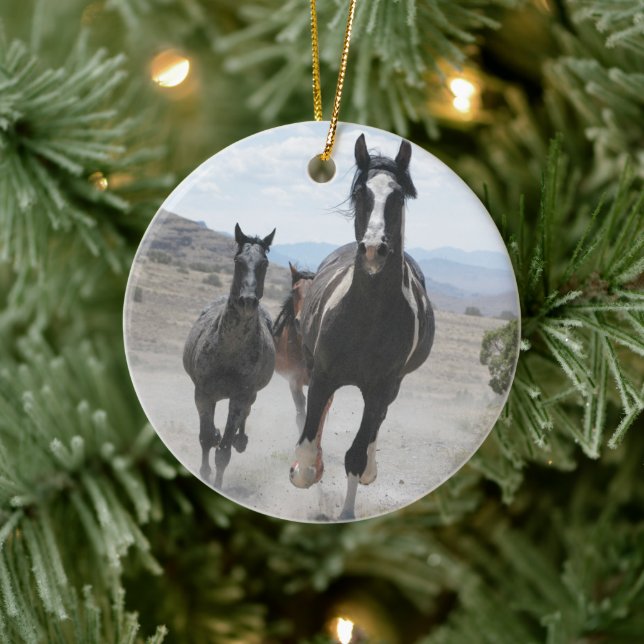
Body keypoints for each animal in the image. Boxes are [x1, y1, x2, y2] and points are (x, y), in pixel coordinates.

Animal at [183, 223, 276, 489]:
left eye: (264, 263)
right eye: (238, 260)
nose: (247, 301)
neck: (229, 351)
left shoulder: (239, 396)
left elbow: (223, 451)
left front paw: (217, 482)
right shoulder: (203, 394)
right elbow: (205, 438)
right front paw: (205, 472)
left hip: (249, 395)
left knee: (244, 417)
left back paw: (240, 439)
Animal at [290, 133, 435, 520]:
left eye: (397, 197)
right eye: (359, 193)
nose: (373, 249)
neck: (366, 318)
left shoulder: (382, 387)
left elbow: (356, 454)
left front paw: (347, 511)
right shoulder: (323, 374)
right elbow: (308, 452)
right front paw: (307, 468)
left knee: (374, 426)